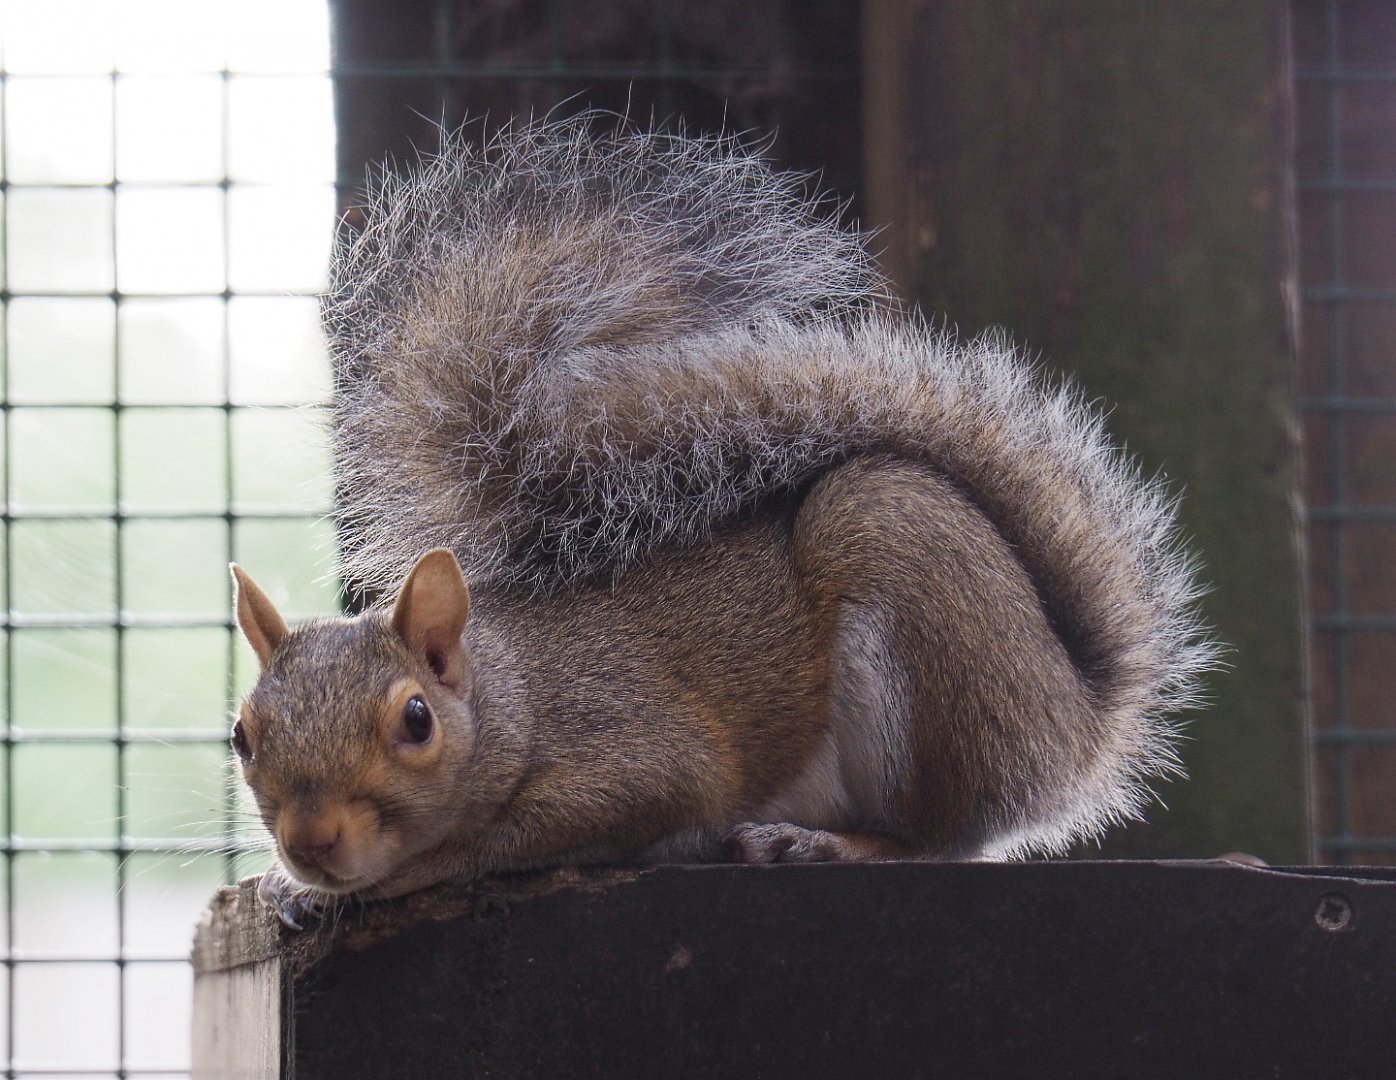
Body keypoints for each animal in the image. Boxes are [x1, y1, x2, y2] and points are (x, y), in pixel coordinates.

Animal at [229, 116, 1216, 929]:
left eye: (417, 721)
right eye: (242, 737)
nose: (311, 844)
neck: (514, 695)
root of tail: (1077, 718)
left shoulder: (642, 756)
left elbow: (510, 839)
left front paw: (390, 876)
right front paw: (287, 885)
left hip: (909, 582)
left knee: (945, 837)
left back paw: (826, 844)